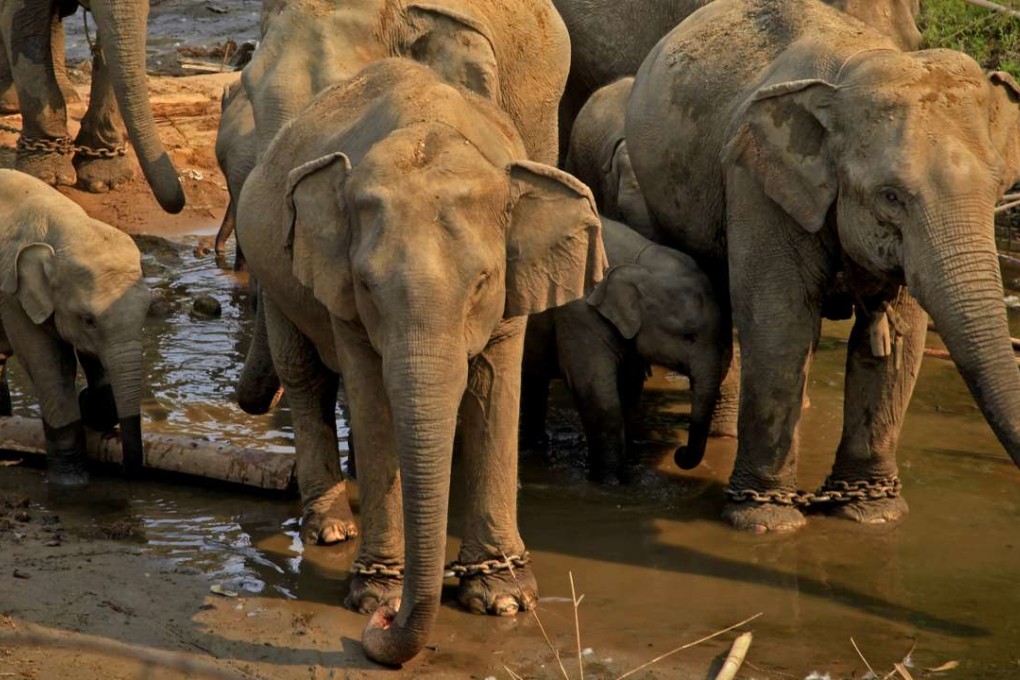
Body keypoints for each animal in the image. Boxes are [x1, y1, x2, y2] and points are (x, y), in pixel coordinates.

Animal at [0, 0, 184, 211]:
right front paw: (48, 176)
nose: (179, 204)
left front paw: (107, 180)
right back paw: (9, 104)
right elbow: (26, 24)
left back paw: (68, 96)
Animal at [0, 169, 149, 484]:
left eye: (147, 312)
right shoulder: (13, 297)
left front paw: (94, 407)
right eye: (88, 320)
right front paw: (71, 482)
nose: (127, 473)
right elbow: (51, 367)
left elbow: (91, 356)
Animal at [236, 58, 605, 666]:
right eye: (366, 284)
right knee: (306, 377)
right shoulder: (343, 298)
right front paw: (374, 595)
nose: (383, 625)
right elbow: (371, 399)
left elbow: (496, 393)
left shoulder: (509, 302)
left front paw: (503, 597)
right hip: (280, 269)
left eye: (481, 282)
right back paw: (330, 530)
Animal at [521, 215, 725, 483]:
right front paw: (609, 481)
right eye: (688, 336)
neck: (641, 260)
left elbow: (629, 388)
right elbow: (596, 392)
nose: (679, 453)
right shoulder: (579, 314)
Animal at [625, 0, 1020, 534]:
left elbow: (899, 338)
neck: (853, 71)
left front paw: (871, 512)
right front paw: (766, 520)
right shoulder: (758, 183)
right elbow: (781, 322)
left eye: (998, 189)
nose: (686, 459)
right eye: (890, 197)